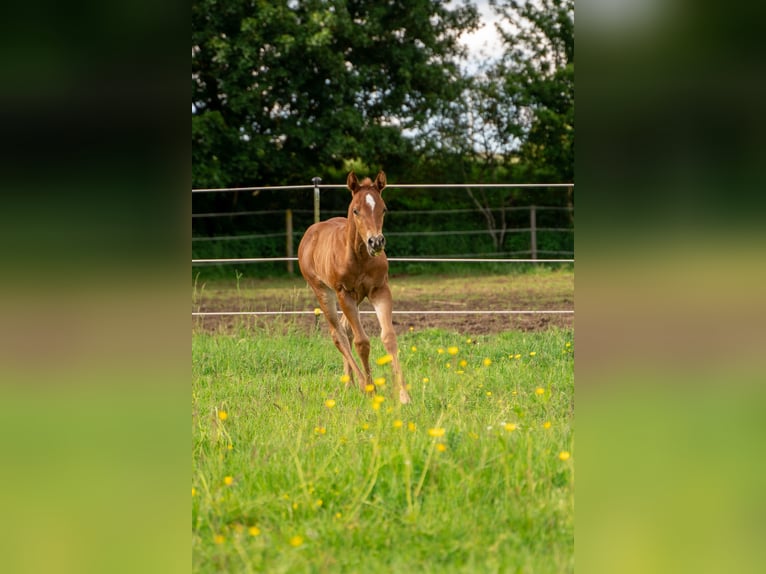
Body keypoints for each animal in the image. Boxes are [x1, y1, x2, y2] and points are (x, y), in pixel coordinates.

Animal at [297, 170, 411, 404]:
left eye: (383, 208)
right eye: (356, 210)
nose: (376, 242)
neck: (359, 257)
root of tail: (310, 233)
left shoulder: (380, 290)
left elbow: (389, 337)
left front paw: (404, 395)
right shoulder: (345, 294)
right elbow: (362, 342)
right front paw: (370, 388)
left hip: (357, 297)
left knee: (345, 328)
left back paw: (348, 382)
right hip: (324, 291)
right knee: (337, 334)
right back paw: (358, 382)